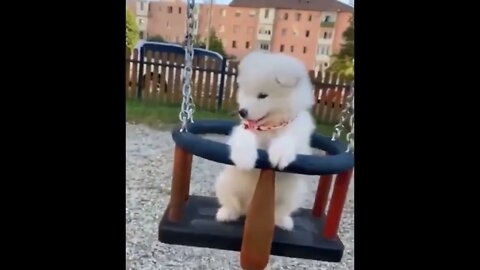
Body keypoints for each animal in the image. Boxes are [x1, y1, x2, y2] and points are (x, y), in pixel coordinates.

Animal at [217, 50, 316, 230]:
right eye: (246, 92)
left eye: (263, 95)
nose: (242, 112)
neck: (271, 127)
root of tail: (250, 209)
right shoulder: (244, 130)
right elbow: (244, 137)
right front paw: (244, 158)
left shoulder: (300, 139)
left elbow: (289, 139)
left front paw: (280, 155)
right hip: (226, 183)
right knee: (232, 203)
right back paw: (226, 214)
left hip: (294, 194)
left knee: (280, 211)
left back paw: (283, 222)